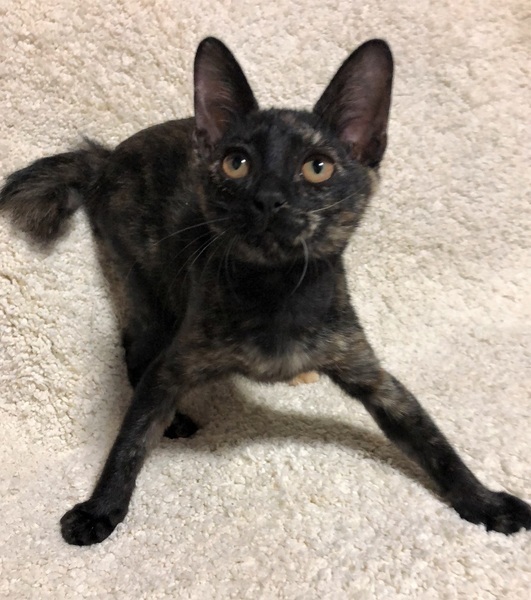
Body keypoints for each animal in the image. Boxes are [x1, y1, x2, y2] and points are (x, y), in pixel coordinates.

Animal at [1, 37, 530, 546]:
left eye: (318, 168)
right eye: (237, 164)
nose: (268, 199)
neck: (277, 295)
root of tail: (108, 156)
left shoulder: (374, 378)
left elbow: (434, 444)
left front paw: (485, 503)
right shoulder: (174, 367)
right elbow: (129, 440)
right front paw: (101, 509)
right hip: (136, 277)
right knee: (135, 350)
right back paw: (173, 421)